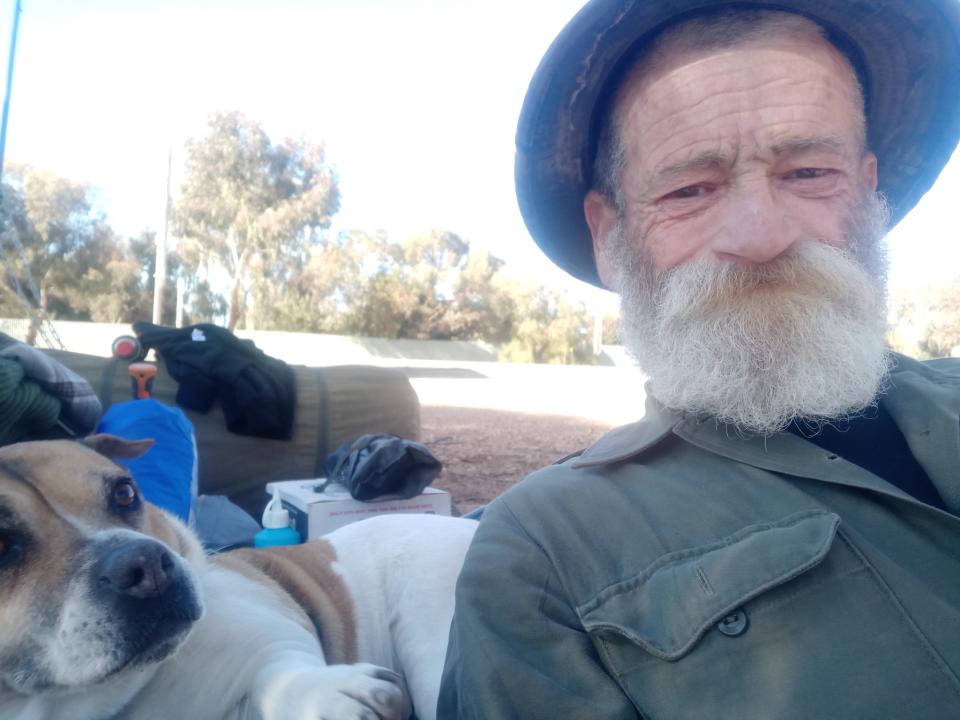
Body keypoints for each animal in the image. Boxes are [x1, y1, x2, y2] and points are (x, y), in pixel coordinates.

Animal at [0, 436, 478, 716]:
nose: (147, 565)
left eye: (125, 493)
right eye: (3, 545)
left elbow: (277, 671)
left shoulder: (272, 634)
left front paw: (323, 693)